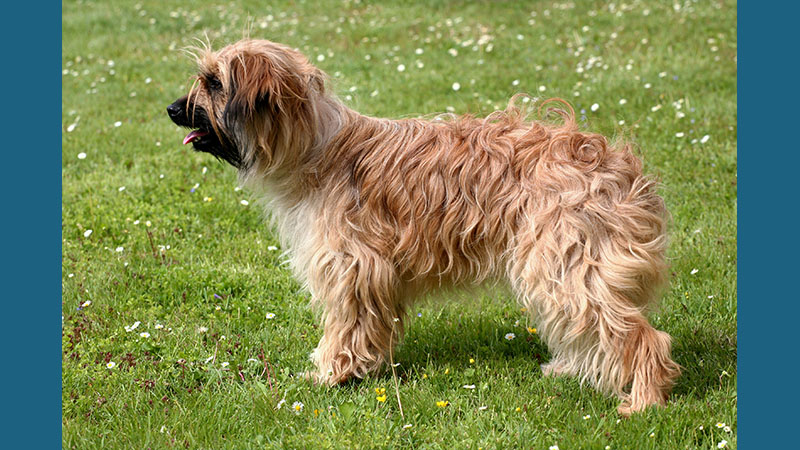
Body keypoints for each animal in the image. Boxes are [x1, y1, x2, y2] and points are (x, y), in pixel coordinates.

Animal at [166, 38, 680, 414]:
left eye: (213, 82)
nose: (172, 109)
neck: (315, 146)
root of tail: (618, 167)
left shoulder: (351, 265)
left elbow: (346, 324)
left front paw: (332, 374)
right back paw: (572, 369)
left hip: (564, 258)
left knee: (640, 335)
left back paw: (644, 402)